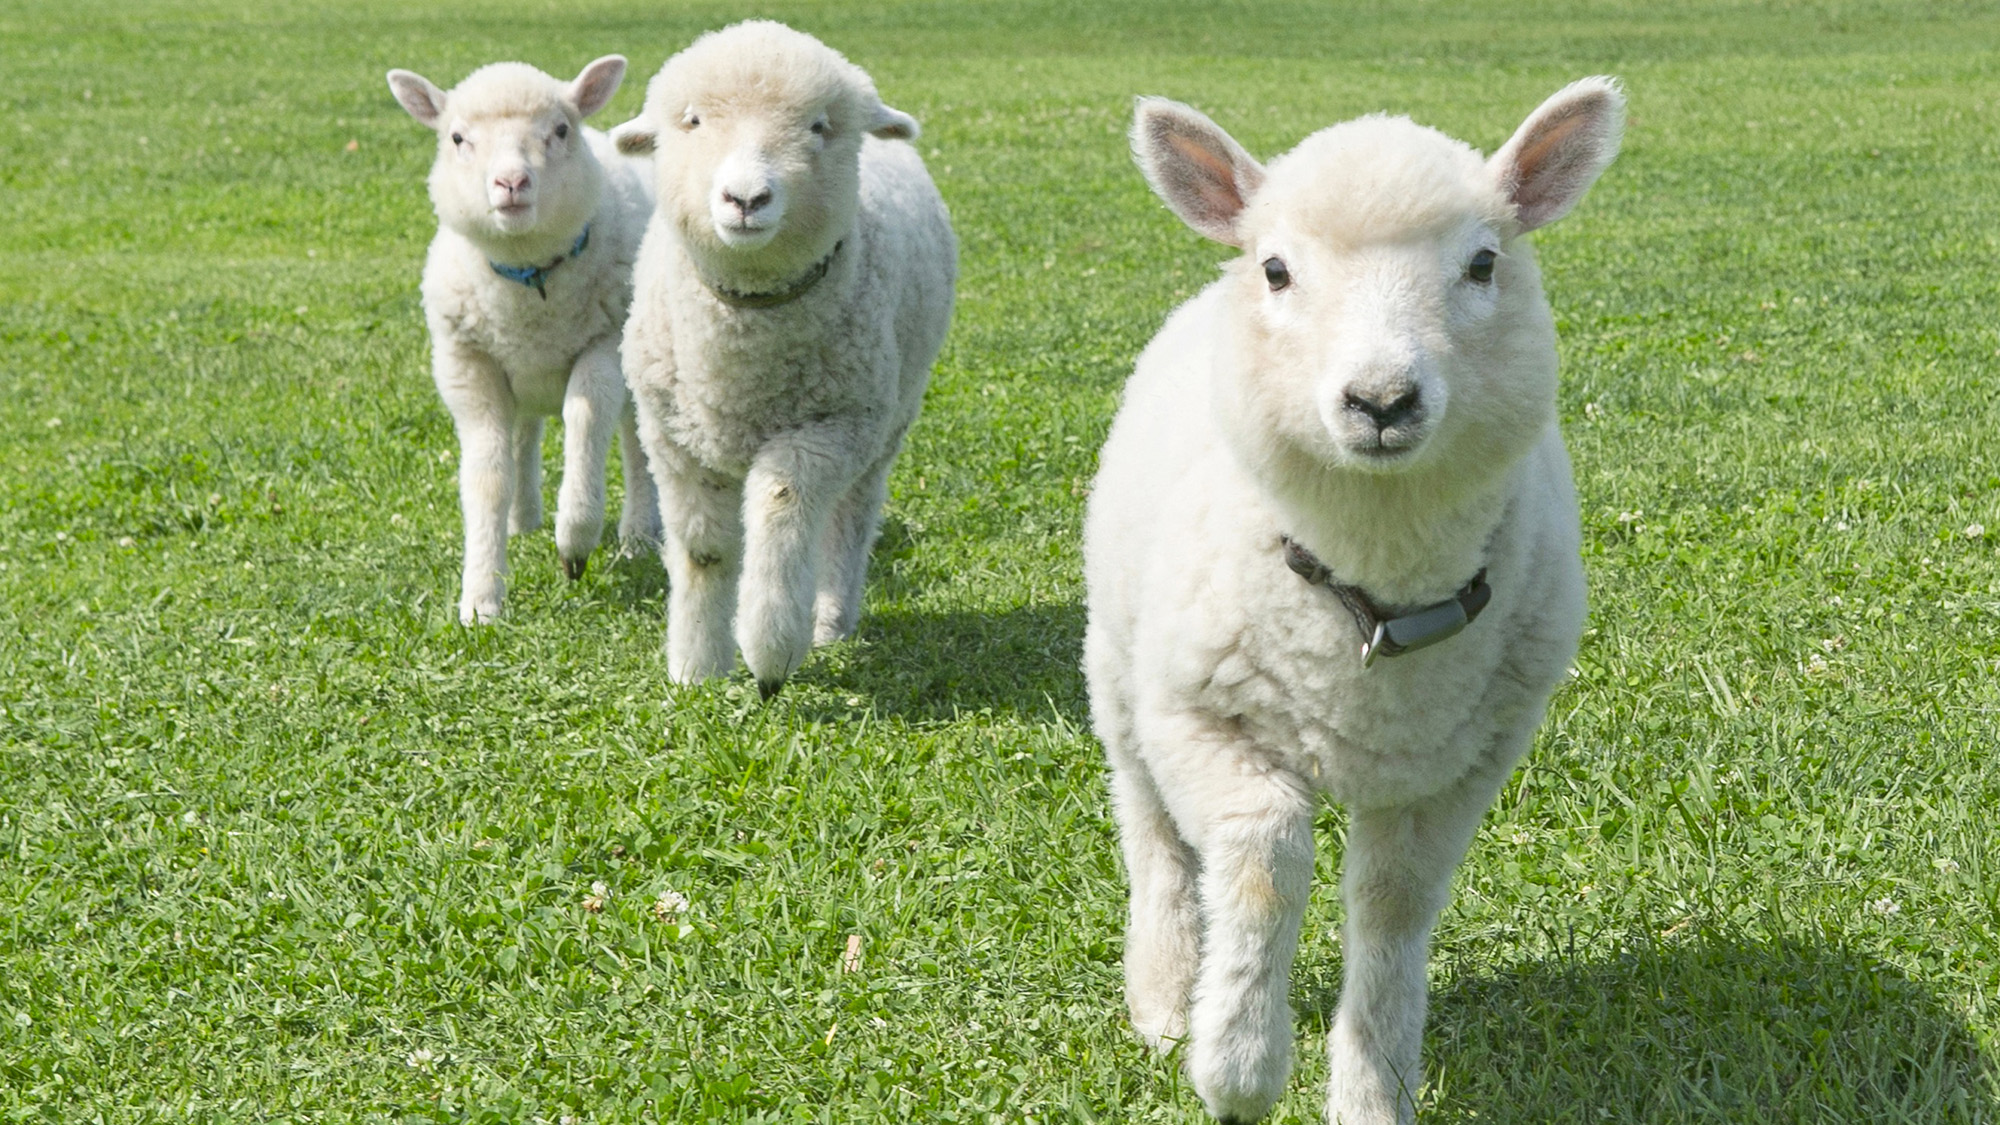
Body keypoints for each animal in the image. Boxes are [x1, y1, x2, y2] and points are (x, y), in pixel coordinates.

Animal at [390, 52, 664, 620]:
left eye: (560, 130)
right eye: (456, 138)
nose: (511, 182)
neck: (529, 275)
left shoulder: (604, 345)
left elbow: (586, 421)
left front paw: (575, 542)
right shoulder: (467, 366)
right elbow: (487, 476)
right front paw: (481, 599)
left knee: (634, 444)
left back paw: (637, 534)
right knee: (524, 433)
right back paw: (524, 518)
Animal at [608, 19, 952, 692]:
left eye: (819, 126)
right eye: (691, 121)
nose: (745, 199)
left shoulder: (828, 430)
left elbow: (781, 507)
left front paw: (770, 651)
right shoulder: (674, 440)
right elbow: (704, 551)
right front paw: (696, 667)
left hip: (887, 419)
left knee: (848, 519)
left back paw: (829, 621)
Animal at [1080, 81, 1624, 1120]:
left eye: (1483, 263)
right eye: (1278, 269)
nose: (1381, 401)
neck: (1376, 592)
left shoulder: (1464, 762)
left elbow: (1392, 902)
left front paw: (1371, 1083)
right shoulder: (1196, 714)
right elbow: (1264, 857)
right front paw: (1239, 1063)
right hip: (1118, 669)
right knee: (1153, 831)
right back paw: (1165, 996)